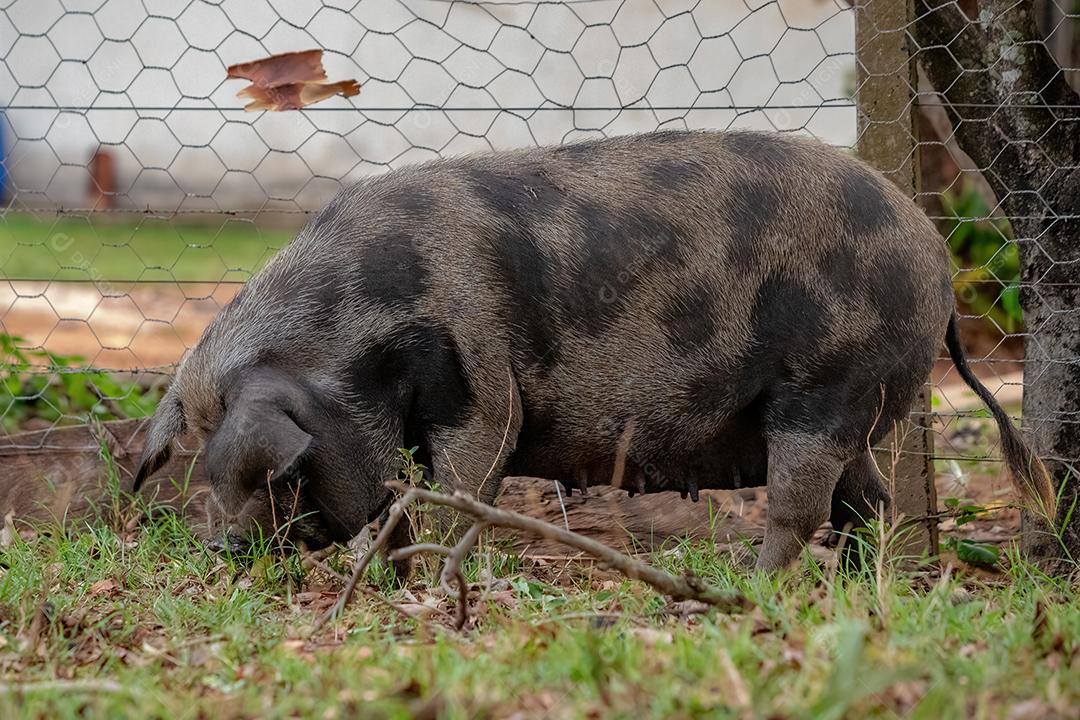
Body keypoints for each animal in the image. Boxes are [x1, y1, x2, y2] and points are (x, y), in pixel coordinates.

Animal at [133, 130, 1053, 572]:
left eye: (278, 476)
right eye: (207, 467)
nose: (221, 549)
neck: (354, 337)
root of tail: (936, 256)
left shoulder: (481, 389)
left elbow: (463, 490)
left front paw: (432, 584)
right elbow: (404, 502)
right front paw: (396, 582)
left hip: (826, 388)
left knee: (801, 508)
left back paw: (748, 590)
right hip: (854, 407)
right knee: (868, 503)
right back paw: (863, 587)